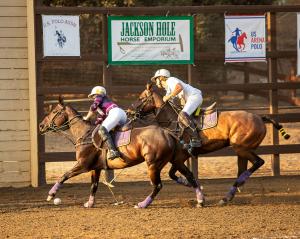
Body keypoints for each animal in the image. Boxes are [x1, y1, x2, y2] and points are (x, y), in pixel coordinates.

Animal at [38, 97, 204, 209]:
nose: (40, 126)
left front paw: (51, 195)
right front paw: (89, 203)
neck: (85, 134)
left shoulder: (83, 165)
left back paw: (143, 204)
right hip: (175, 160)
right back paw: (199, 198)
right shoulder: (95, 168)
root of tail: (167, 132)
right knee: (189, 175)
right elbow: (94, 185)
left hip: (153, 164)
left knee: (158, 185)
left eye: (54, 111)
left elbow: (64, 175)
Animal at [130, 83, 290, 204]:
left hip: (241, 148)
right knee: (242, 169)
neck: (173, 121)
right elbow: (174, 174)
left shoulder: (180, 158)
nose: (130, 111)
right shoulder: (178, 158)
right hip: (241, 151)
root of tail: (260, 117)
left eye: (141, 98)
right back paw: (228, 196)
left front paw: (199, 196)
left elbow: (185, 175)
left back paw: (236, 187)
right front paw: (192, 187)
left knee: (258, 162)